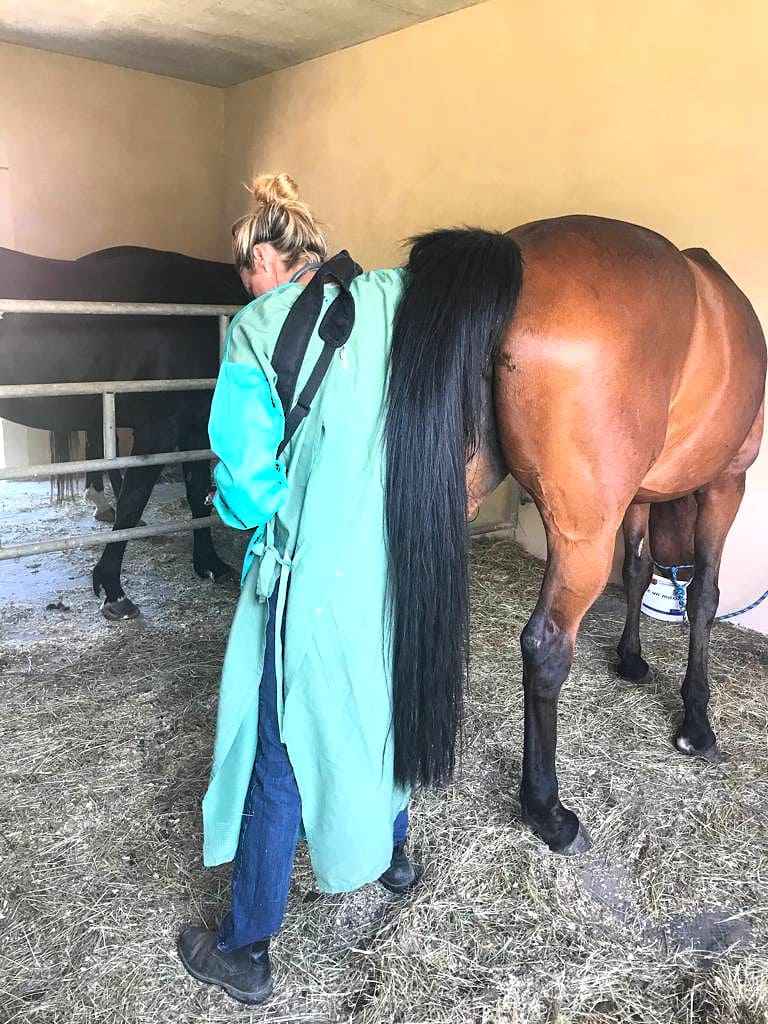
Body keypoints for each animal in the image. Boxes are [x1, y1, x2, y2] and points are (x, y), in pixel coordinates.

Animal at [0, 245, 245, 619]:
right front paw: (113, 589)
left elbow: (197, 498)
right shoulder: (160, 429)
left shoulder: (193, 429)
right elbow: (133, 500)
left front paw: (210, 564)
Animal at [385, 215, 766, 854]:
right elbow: (705, 600)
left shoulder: (636, 499)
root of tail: (514, 251)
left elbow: (635, 570)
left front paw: (632, 659)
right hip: (582, 539)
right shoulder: (725, 485)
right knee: (545, 646)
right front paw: (696, 723)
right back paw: (549, 811)